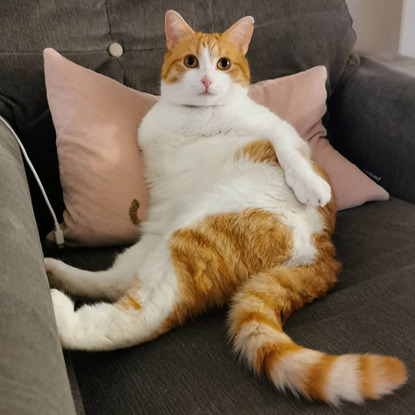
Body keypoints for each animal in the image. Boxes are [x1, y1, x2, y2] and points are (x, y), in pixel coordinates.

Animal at [44, 10, 406, 406]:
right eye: (191, 62)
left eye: (223, 64)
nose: (206, 80)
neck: (199, 118)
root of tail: (325, 250)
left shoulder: (284, 132)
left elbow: (287, 148)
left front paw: (310, 185)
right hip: (162, 239)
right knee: (119, 284)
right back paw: (55, 273)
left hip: (195, 232)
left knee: (144, 315)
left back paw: (60, 314)